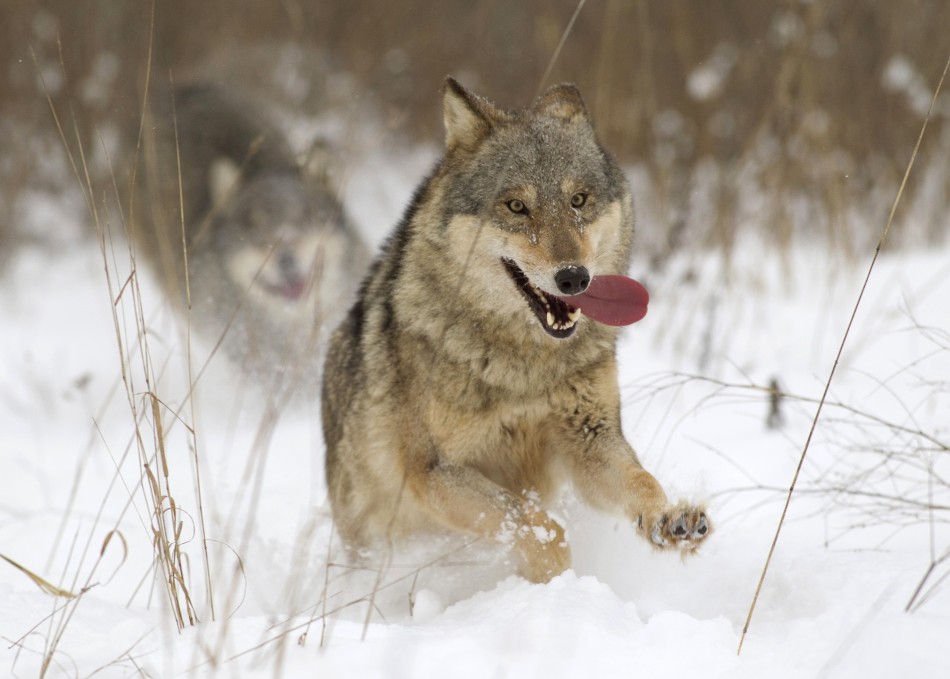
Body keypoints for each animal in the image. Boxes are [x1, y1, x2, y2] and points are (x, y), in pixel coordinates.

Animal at [324, 77, 712, 580]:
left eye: (578, 200)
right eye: (516, 207)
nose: (574, 277)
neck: (524, 368)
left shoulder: (589, 440)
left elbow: (640, 481)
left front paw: (668, 518)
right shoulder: (433, 471)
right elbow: (535, 525)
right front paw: (552, 578)